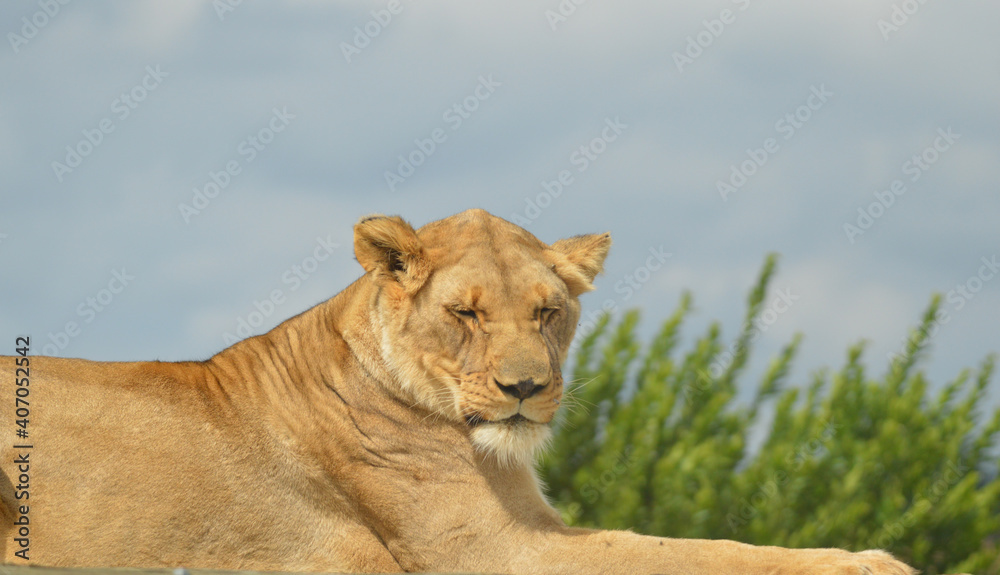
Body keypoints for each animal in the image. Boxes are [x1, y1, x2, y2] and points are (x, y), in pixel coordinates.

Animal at [1, 209, 922, 574]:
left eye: (548, 311)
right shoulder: (488, 552)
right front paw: (868, 561)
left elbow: (676, 545)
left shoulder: (528, 529)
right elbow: (684, 552)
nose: (526, 388)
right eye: (466, 312)